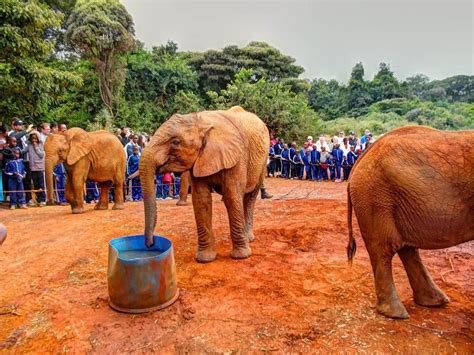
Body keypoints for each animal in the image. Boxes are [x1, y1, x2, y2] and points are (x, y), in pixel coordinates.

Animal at [139, 105, 268, 262]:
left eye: (175, 142)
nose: (150, 245)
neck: (202, 120)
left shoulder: (237, 157)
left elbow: (232, 197)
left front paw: (241, 257)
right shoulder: (199, 159)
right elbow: (201, 199)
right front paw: (205, 259)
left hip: (262, 161)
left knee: (249, 197)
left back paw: (248, 238)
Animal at [346, 126, 472, 320]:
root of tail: (361, 158)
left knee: (406, 248)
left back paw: (435, 301)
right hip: (376, 198)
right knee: (384, 249)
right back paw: (397, 313)